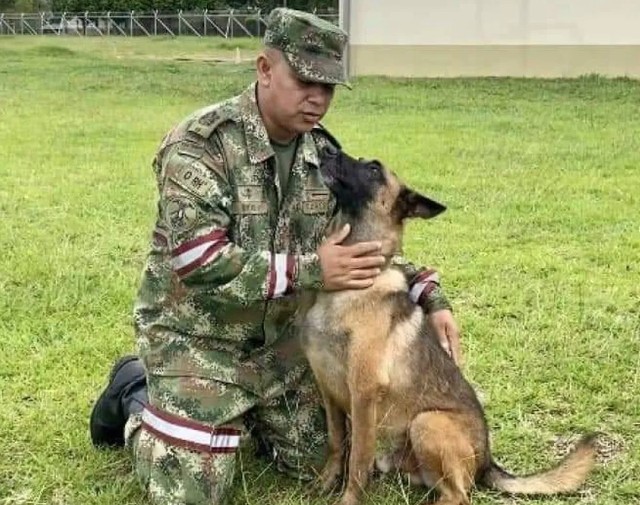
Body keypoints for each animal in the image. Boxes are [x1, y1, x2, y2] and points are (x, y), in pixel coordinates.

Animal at [298, 148, 596, 504]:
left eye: (373, 170)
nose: (326, 150)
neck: (347, 288)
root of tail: (487, 459)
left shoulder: (363, 394)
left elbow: (357, 460)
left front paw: (347, 498)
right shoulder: (328, 391)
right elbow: (336, 443)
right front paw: (323, 484)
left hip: (427, 422)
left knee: (459, 494)